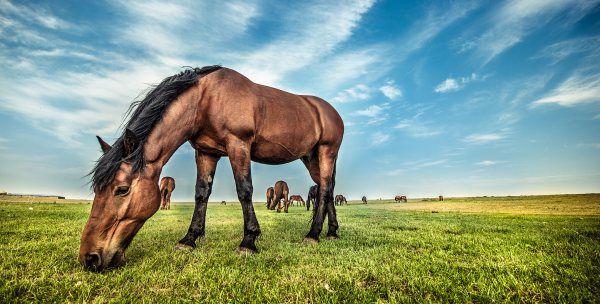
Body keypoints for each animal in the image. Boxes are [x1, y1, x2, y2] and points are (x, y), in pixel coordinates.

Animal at [79, 66, 342, 270]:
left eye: (122, 189)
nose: (89, 258)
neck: (206, 100)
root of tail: (331, 112)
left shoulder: (238, 145)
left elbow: (244, 190)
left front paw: (248, 241)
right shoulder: (206, 153)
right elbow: (201, 193)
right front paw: (189, 239)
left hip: (326, 152)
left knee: (325, 189)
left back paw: (313, 235)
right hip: (311, 158)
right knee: (327, 188)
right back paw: (332, 232)